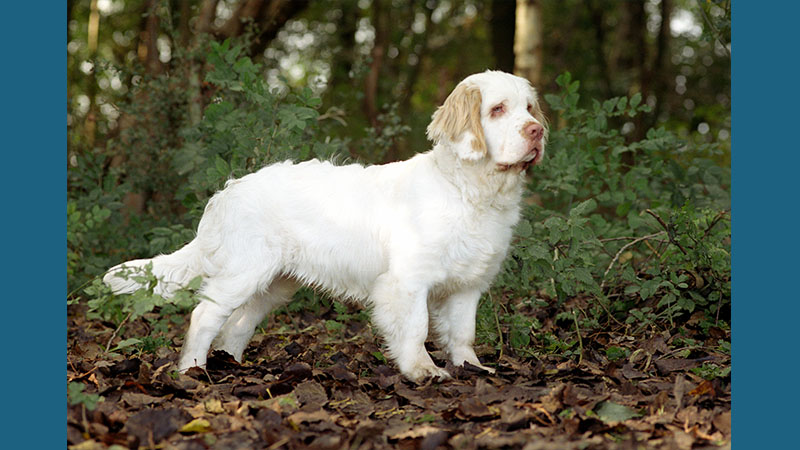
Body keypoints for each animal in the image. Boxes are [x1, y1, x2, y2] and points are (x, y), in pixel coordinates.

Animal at [104, 70, 544, 384]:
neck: (468, 191)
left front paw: (473, 368)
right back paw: (192, 371)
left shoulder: (469, 286)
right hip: (244, 273)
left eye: (529, 108)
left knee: (237, 325)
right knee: (205, 317)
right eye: (498, 109)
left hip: (274, 285)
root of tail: (227, 193)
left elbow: (463, 333)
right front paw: (423, 370)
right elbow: (416, 330)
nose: (537, 131)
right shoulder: (407, 283)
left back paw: (233, 365)